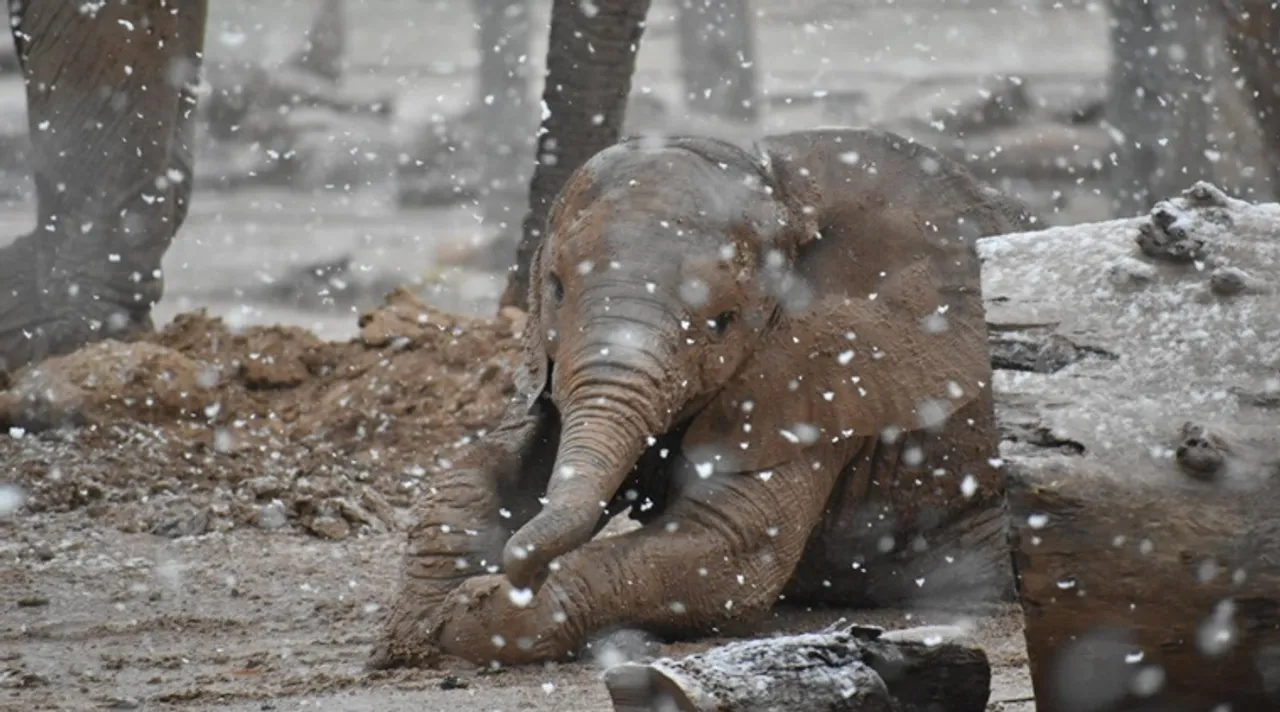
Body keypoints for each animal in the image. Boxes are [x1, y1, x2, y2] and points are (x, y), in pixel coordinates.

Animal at [368, 126, 1029, 665]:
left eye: (723, 322)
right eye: (554, 289)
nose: (513, 570)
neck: (783, 188)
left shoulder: (829, 378)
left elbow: (728, 547)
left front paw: (475, 614)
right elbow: (491, 467)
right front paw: (418, 626)